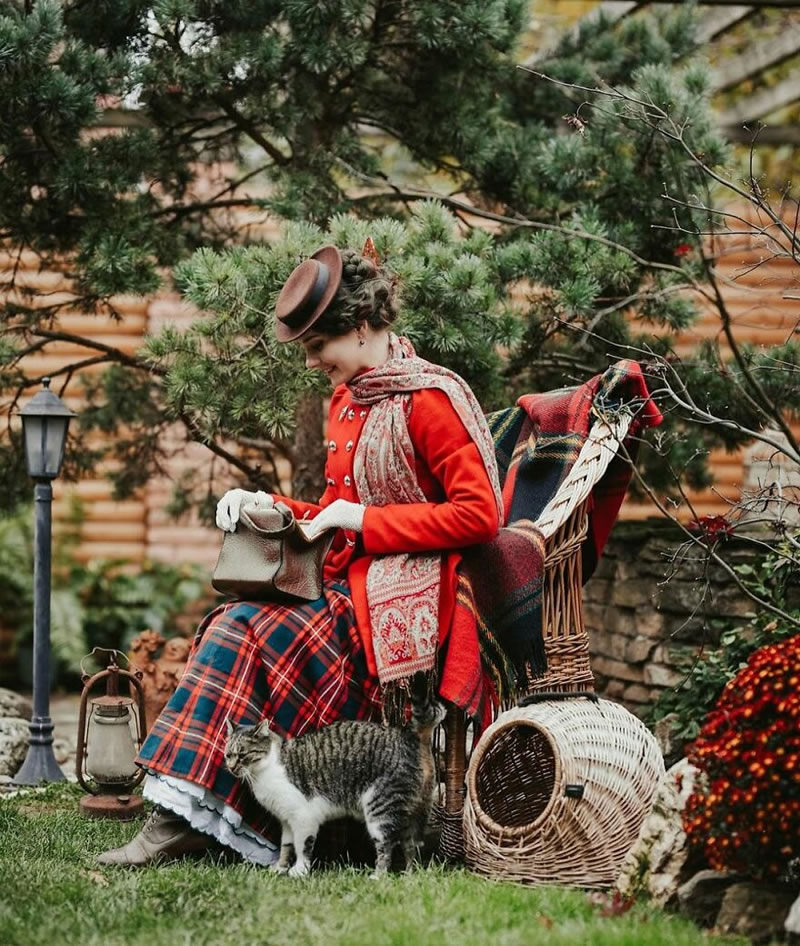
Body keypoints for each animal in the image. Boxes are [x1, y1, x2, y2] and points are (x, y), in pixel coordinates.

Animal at [223, 684, 444, 872]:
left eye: (242, 755)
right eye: (228, 755)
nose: (231, 767)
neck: (264, 771)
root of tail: (410, 736)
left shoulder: (303, 817)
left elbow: (302, 846)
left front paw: (299, 871)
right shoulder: (286, 819)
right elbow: (286, 845)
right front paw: (280, 868)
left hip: (379, 811)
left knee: (387, 846)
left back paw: (378, 875)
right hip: (414, 813)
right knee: (412, 847)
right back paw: (409, 875)